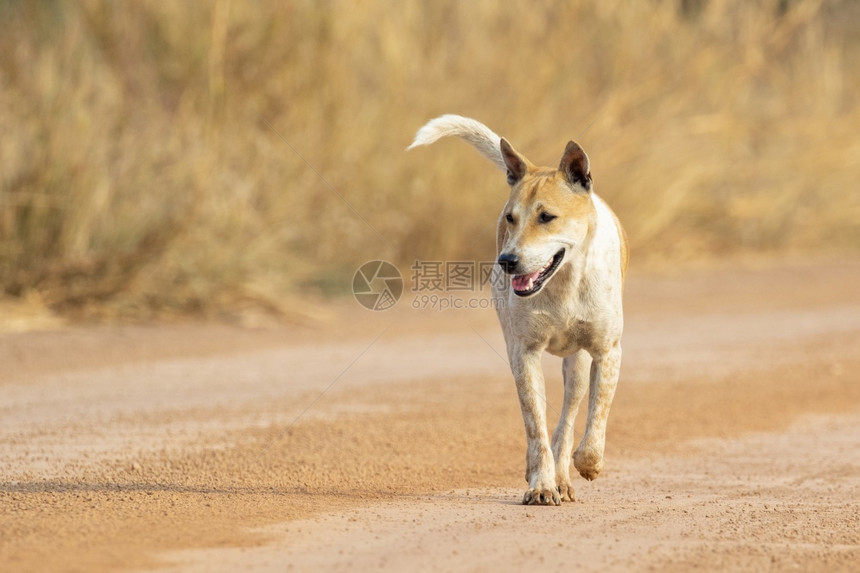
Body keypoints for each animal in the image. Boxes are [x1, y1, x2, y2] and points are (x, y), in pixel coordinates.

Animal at [406, 114, 628, 502]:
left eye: (547, 217)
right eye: (510, 218)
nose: (507, 261)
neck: (564, 284)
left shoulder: (607, 351)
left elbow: (596, 416)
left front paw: (587, 464)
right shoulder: (524, 353)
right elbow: (534, 425)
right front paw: (541, 484)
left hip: (577, 365)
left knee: (569, 415)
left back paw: (566, 475)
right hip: (515, 351)